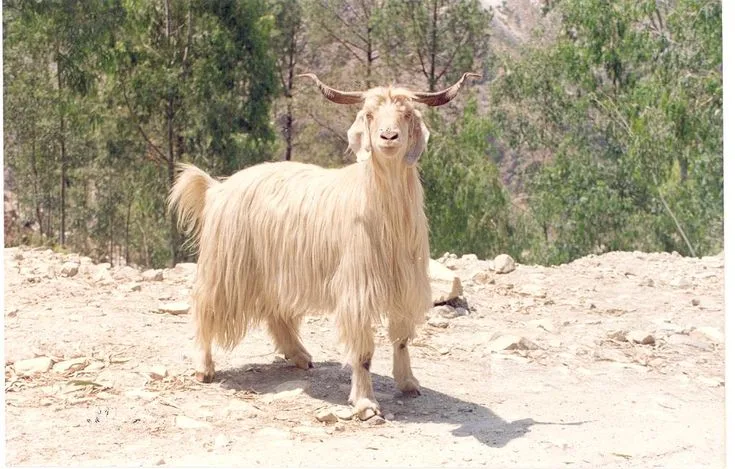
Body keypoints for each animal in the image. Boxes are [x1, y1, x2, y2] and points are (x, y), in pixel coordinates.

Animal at [168, 72, 478, 419]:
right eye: (369, 114)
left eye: (408, 114)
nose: (388, 136)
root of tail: (217, 188)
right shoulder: (357, 288)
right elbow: (364, 350)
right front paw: (365, 403)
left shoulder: (405, 283)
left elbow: (401, 338)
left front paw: (409, 383)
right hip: (225, 266)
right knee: (205, 305)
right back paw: (204, 367)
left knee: (276, 313)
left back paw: (300, 356)